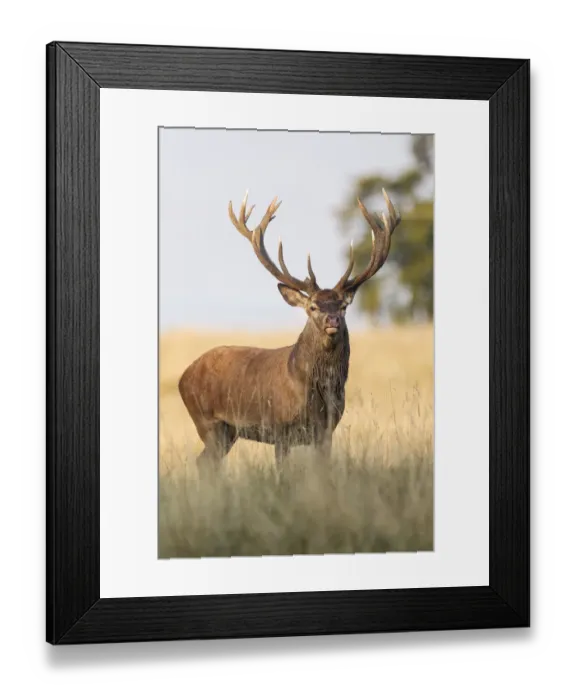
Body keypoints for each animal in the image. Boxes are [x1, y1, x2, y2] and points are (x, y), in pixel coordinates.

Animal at [178, 188, 401, 468]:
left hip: (228, 431)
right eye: (313, 307)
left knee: (205, 462)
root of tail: (183, 377)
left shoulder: (326, 431)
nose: (332, 320)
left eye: (343, 306)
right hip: (207, 421)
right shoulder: (279, 428)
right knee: (204, 461)